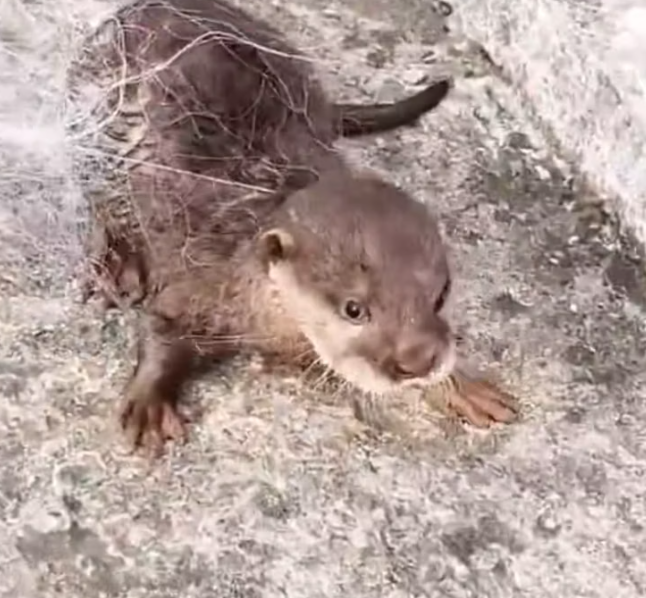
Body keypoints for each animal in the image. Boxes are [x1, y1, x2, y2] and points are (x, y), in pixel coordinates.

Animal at [65, 0, 518, 456]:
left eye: (440, 297)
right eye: (354, 309)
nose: (418, 361)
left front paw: (459, 383)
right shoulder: (201, 280)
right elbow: (160, 326)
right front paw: (149, 405)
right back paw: (118, 264)